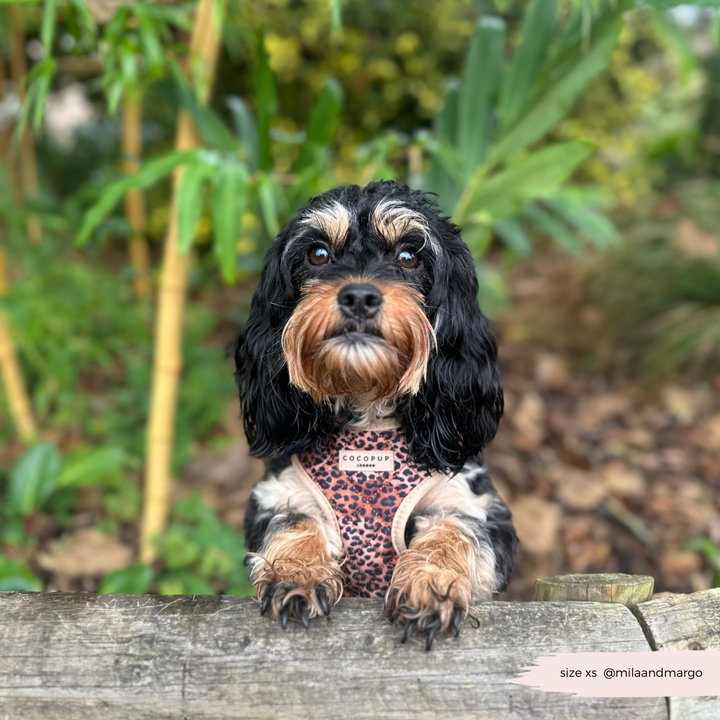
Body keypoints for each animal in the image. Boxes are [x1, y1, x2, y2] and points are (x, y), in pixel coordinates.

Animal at [235, 179, 516, 648]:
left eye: (408, 256)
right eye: (318, 254)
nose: (359, 296)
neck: (367, 410)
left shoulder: (477, 507)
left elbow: (453, 533)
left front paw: (430, 584)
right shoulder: (276, 494)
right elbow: (297, 522)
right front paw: (298, 572)